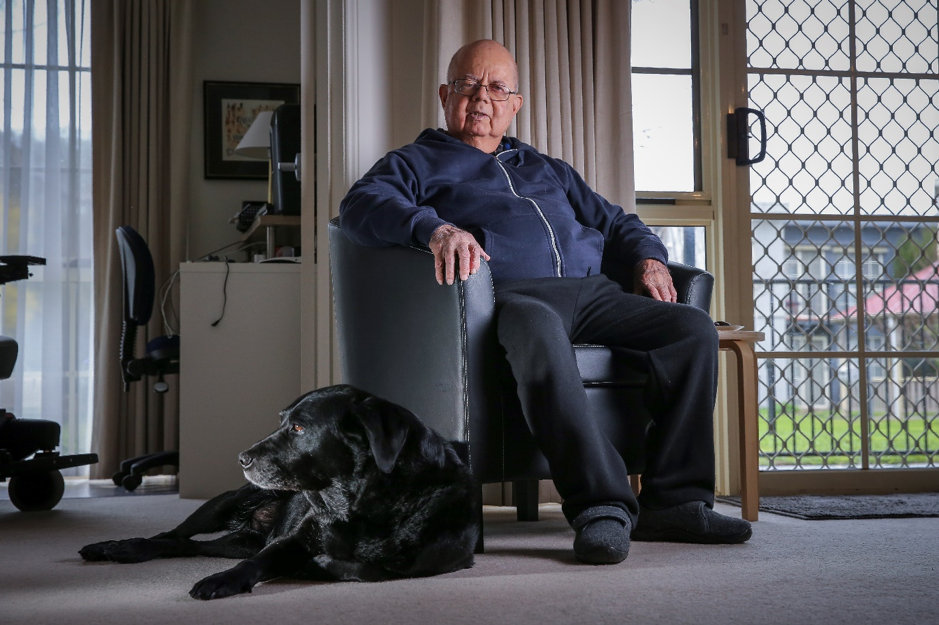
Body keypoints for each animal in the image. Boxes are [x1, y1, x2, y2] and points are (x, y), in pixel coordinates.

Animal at [80, 382, 478, 596]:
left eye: (299, 429)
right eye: (282, 421)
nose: (241, 458)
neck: (355, 506)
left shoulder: (434, 564)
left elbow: (366, 569)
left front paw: (318, 566)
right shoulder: (292, 540)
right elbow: (256, 563)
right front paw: (221, 581)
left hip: (237, 540)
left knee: (185, 546)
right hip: (224, 504)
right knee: (170, 536)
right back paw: (117, 548)